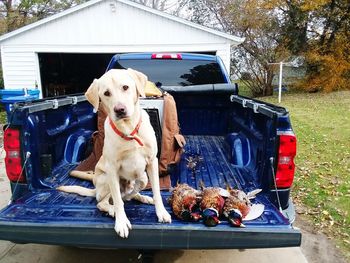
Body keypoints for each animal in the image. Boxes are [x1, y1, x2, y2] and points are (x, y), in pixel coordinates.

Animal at [60, 69, 172, 238]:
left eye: (125, 87)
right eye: (106, 93)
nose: (120, 110)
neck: (129, 130)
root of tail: (95, 189)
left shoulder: (152, 162)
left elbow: (157, 192)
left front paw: (161, 212)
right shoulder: (112, 169)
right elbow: (118, 202)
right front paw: (121, 222)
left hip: (143, 177)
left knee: (131, 193)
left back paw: (143, 197)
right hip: (106, 179)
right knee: (105, 202)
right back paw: (112, 209)